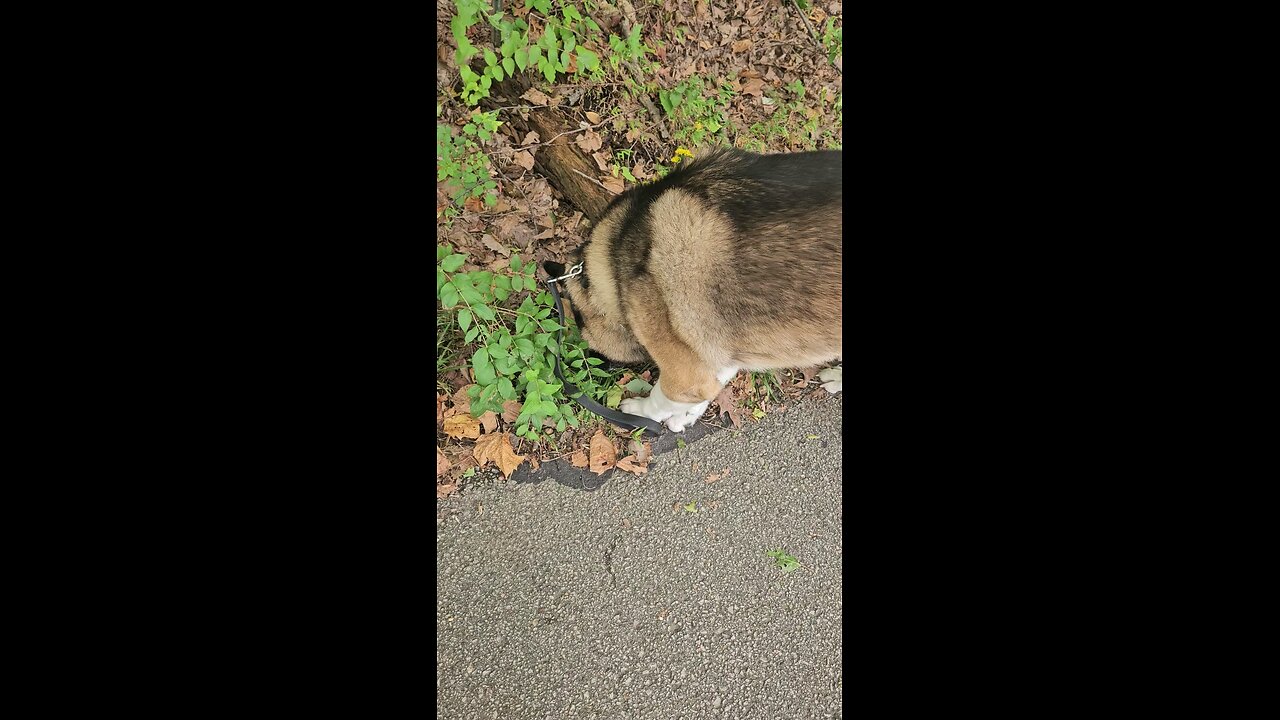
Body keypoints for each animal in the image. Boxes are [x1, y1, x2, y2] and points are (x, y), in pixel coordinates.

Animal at [547, 142, 839, 427]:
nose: (587, 368)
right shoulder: (716, 353)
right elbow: (714, 380)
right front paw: (686, 415)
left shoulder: (684, 375)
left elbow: (662, 396)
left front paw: (643, 412)